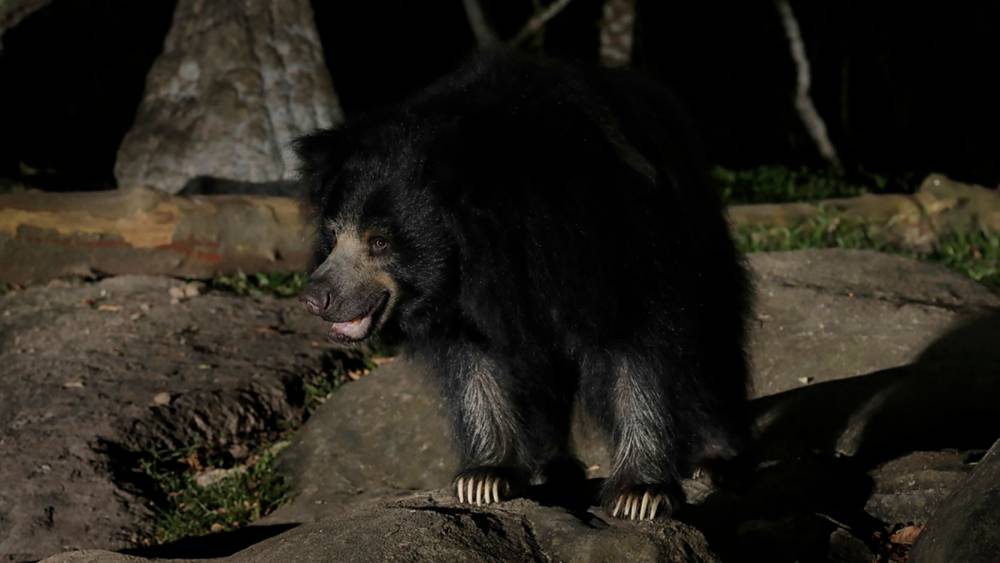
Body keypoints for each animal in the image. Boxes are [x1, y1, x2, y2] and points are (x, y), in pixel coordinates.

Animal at [295, 51, 752, 521]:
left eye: (379, 242)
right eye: (333, 235)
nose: (315, 298)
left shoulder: (614, 239)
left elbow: (639, 346)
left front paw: (640, 494)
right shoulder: (464, 304)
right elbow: (477, 366)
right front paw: (483, 479)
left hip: (697, 229)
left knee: (712, 341)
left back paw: (716, 459)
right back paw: (555, 469)